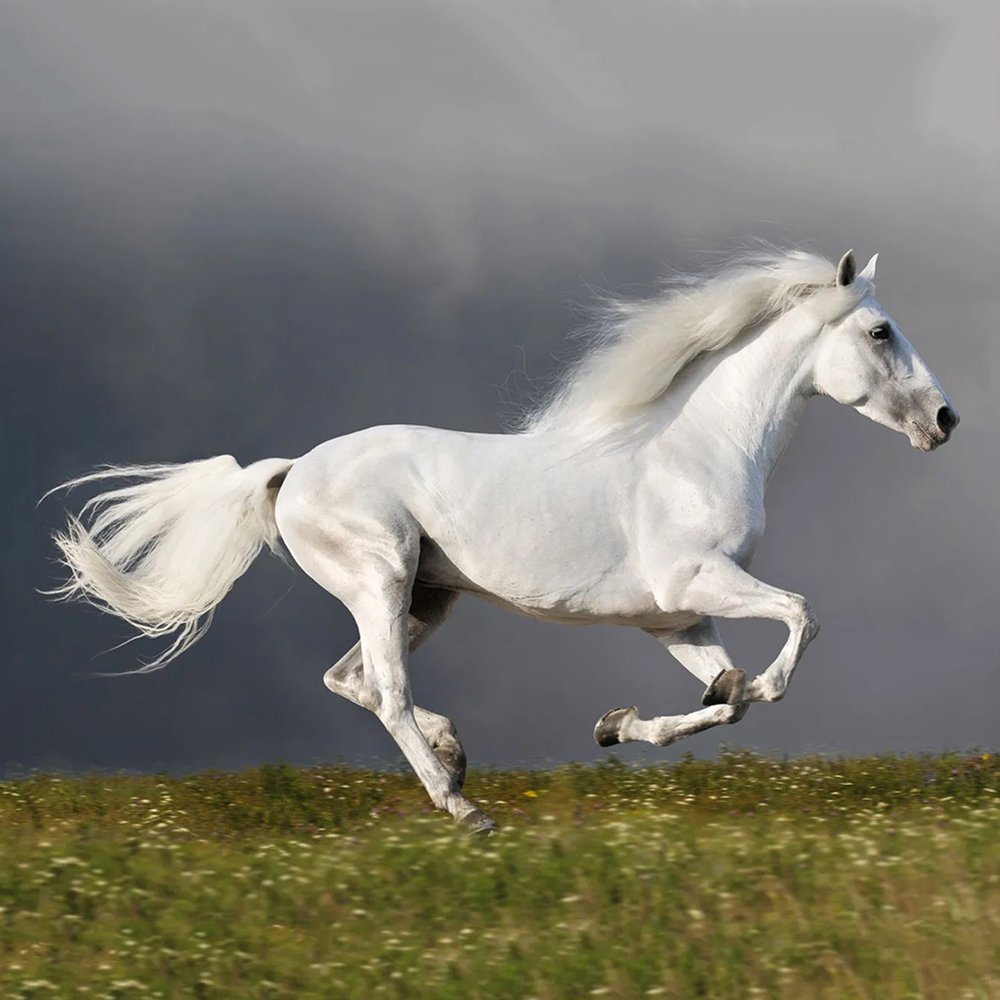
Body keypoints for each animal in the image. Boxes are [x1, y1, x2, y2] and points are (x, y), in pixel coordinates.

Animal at [45, 248, 958, 833]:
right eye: (880, 332)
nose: (946, 419)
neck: (695, 448)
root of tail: (293, 470)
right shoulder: (696, 583)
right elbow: (799, 621)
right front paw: (748, 686)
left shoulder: (674, 618)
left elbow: (723, 699)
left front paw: (617, 726)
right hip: (381, 581)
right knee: (385, 689)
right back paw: (463, 806)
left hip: (426, 599)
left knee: (352, 680)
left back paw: (453, 756)